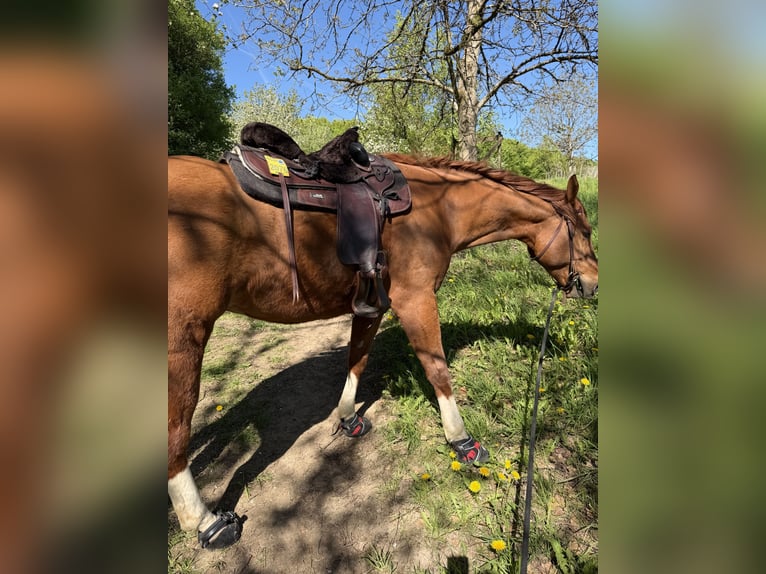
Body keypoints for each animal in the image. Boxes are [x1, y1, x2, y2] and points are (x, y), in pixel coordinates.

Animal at [168, 153, 598, 547]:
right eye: (585, 230)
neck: (437, 209)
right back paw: (205, 522)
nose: (592, 285)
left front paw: (347, 419)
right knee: (177, 427)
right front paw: (462, 442)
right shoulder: (416, 300)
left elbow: (357, 358)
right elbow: (437, 370)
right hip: (182, 340)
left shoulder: (372, 304)